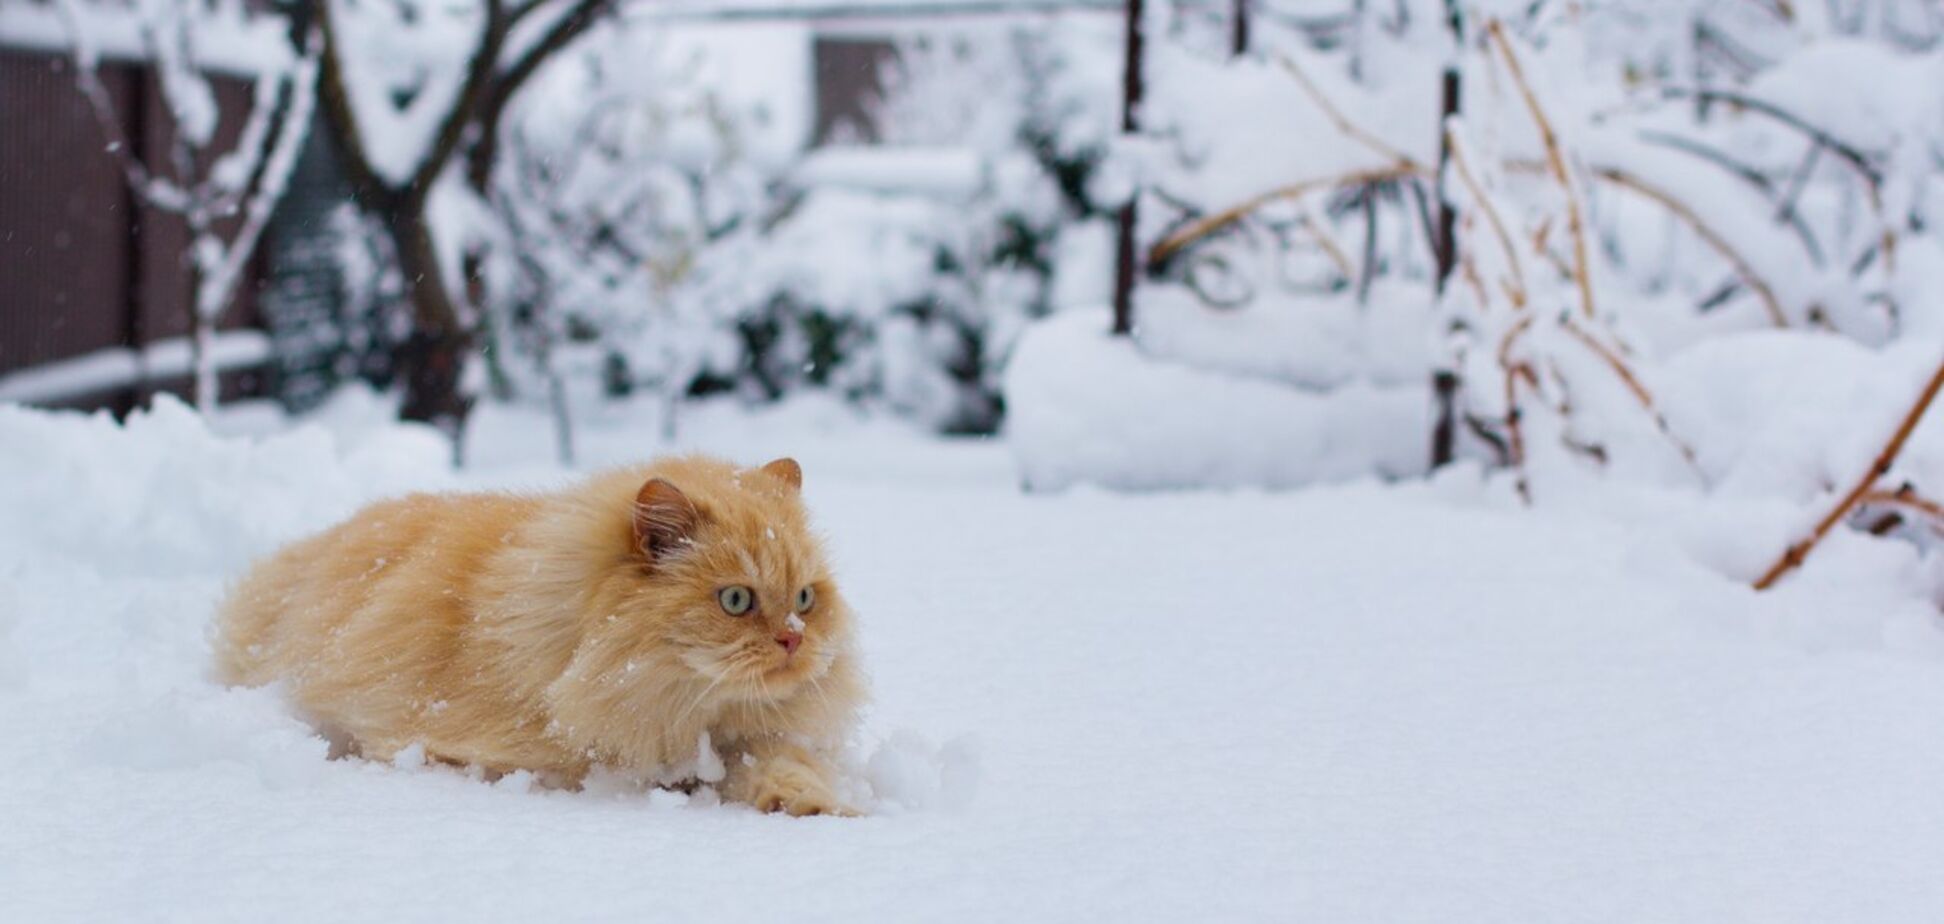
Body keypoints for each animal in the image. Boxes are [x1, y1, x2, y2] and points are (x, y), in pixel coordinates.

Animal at [207, 457, 867, 817]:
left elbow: (783, 770)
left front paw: (818, 809)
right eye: (735, 601)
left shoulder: (752, 739)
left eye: (805, 600)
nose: (793, 641)